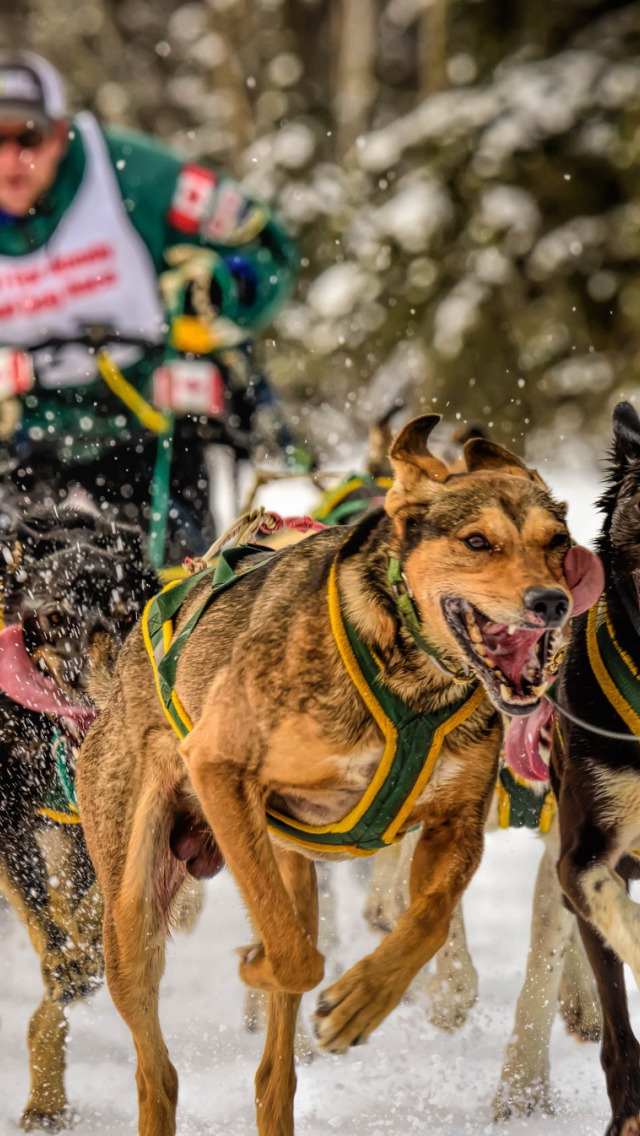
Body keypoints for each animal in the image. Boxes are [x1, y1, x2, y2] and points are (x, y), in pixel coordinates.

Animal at [0, 508, 158, 1136]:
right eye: (54, 617)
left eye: (124, 610)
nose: (97, 681)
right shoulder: (6, 818)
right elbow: (39, 908)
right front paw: (66, 956)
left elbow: (92, 908)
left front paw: (85, 953)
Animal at [76, 418, 600, 1136]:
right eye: (476, 541)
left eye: (558, 544)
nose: (551, 603)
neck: (411, 672)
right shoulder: (216, 763)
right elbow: (299, 958)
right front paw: (277, 972)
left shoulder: (455, 826)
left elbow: (428, 921)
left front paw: (361, 1001)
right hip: (134, 917)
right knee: (158, 1073)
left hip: (286, 869)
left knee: (273, 1074)